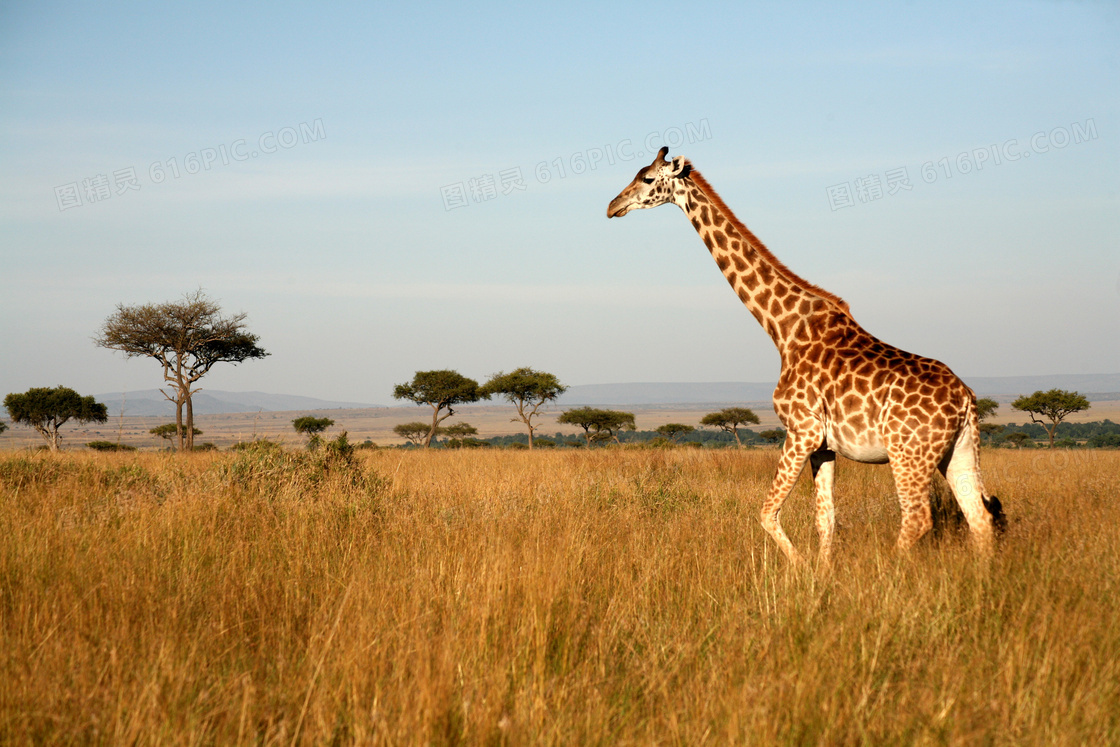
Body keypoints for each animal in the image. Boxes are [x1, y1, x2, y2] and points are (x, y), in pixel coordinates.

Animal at [613, 147, 1008, 566]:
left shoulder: (801, 430)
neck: (783, 328)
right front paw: (822, 572)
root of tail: (966, 399)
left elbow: (767, 512)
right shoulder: (824, 446)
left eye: (648, 178)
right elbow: (825, 518)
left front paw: (801, 568)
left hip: (908, 454)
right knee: (979, 517)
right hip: (958, 451)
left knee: (917, 518)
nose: (612, 206)